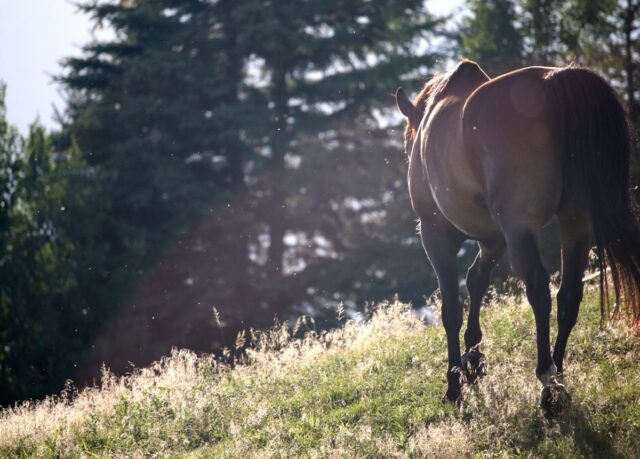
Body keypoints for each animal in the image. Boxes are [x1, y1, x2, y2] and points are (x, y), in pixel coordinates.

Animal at [396, 58, 640, 416]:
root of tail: (555, 81)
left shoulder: (436, 234)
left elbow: (451, 308)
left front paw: (455, 382)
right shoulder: (493, 239)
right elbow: (476, 281)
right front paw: (473, 363)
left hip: (519, 228)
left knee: (539, 290)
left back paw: (548, 384)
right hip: (575, 222)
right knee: (569, 294)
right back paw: (558, 373)